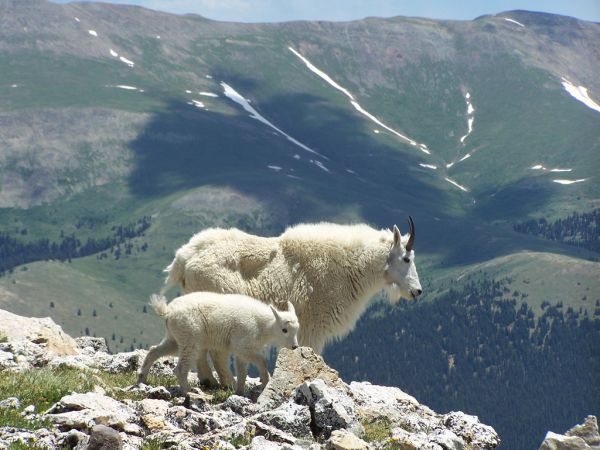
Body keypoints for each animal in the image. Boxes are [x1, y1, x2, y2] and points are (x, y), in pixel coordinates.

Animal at [137, 292, 298, 394]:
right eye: (284, 330)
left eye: (297, 329)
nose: (294, 346)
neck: (263, 324)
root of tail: (168, 311)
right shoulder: (242, 345)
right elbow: (262, 360)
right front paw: (265, 381)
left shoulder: (242, 351)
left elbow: (242, 372)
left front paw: (239, 392)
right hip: (190, 339)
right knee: (180, 368)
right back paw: (187, 391)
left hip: (175, 339)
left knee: (154, 351)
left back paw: (142, 378)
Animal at [161, 218, 422, 384]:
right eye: (407, 258)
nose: (417, 291)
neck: (351, 266)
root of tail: (183, 258)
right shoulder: (313, 327)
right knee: (214, 351)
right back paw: (224, 383)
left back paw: (212, 381)